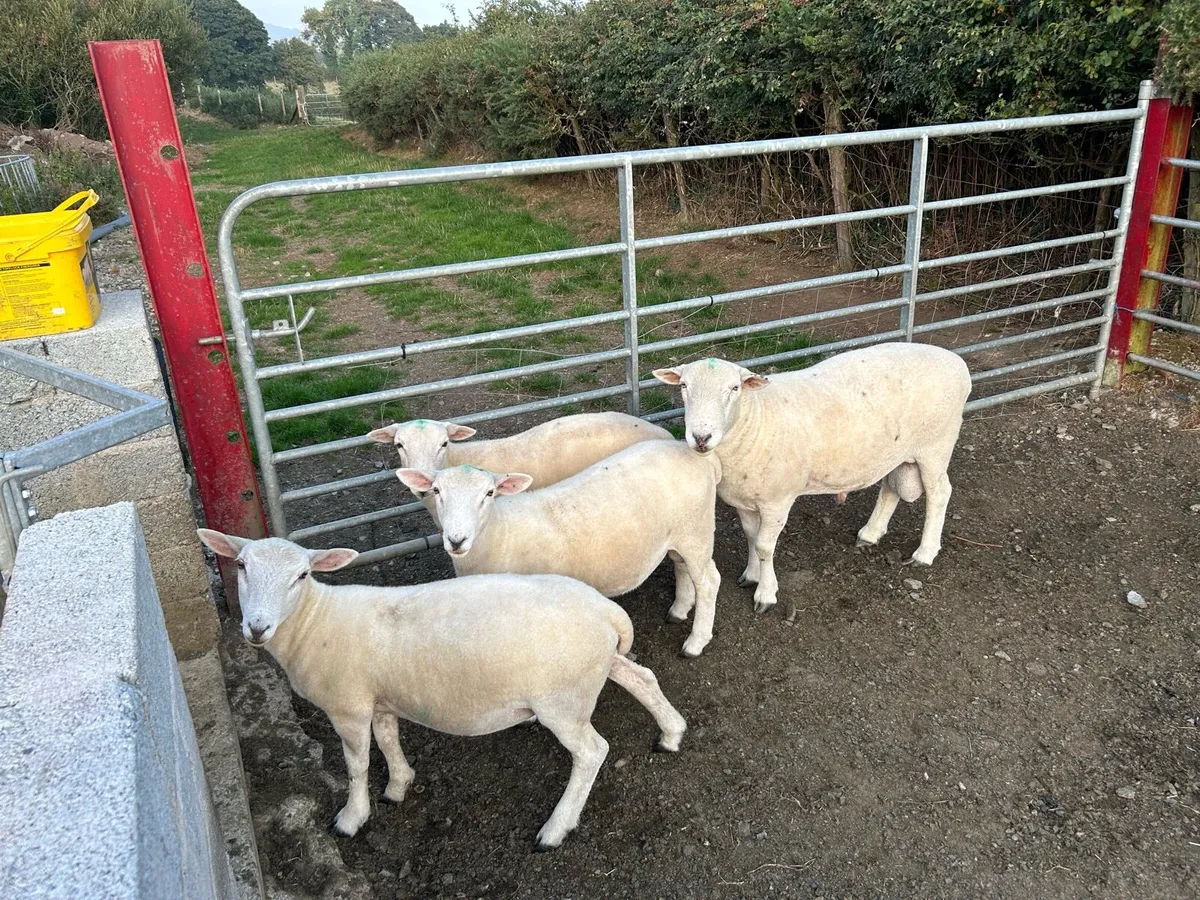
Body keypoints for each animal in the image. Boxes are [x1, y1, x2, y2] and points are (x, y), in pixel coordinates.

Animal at [196, 529, 687, 850]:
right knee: (642, 678)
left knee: (592, 751)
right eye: (241, 566)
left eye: (301, 576)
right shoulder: (380, 698)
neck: (315, 622)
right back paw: (671, 732)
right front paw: (398, 784)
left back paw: (556, 828)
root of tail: (607, 611)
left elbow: (356, 765)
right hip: (595, 668)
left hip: (562, 700)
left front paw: (352, 818)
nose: (256, 627)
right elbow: (388, 739)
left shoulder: (348, 706)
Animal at [396, 440, 723, 657]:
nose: (457, 539)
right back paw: (679, 609)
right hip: (680, 533)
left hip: (697, 530)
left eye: (489, 493)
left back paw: (695, 642)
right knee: (682, 567)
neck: (501, 533)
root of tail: (696, 454)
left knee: (708, 581)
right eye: (437, 491)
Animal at [652, 343, 971, 614]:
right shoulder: (745, 498)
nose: (701, 437)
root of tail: (957, 362)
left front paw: (766, 593)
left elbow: (765, 546)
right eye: (684, 386)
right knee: (890, 488)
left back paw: (925, 552)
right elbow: (752, 537)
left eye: (734, 388)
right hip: (898, 452)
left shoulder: (778, 500)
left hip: (936, 447)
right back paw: (870, 533)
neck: (754, 418)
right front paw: (751, 575)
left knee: (940, 493)